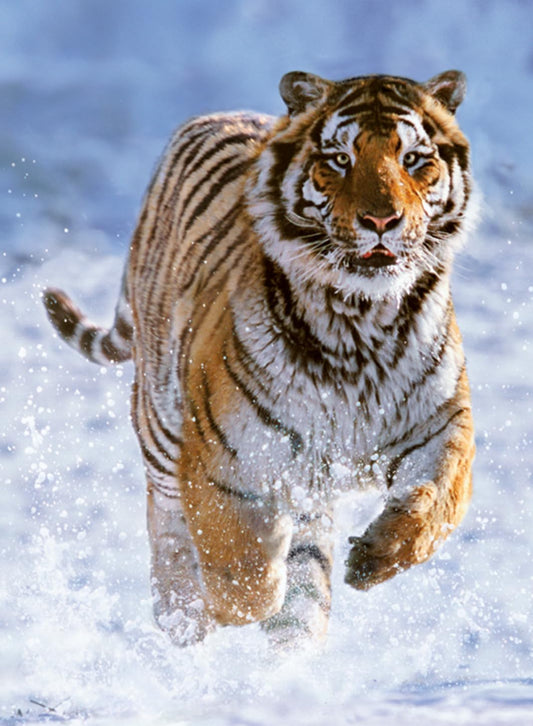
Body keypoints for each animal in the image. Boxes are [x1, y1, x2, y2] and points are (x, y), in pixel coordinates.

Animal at [43, 69, 476, 648]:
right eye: (340, 159)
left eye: (413, 159)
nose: (382, 220)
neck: (359, 321)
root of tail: (215, 115)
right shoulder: (221, 459)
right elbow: (243, 576)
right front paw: (226, 601)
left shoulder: (442, 424)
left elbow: (439, 501)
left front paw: (375, 557)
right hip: (161, 428)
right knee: (168, 528)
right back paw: (183, 618)